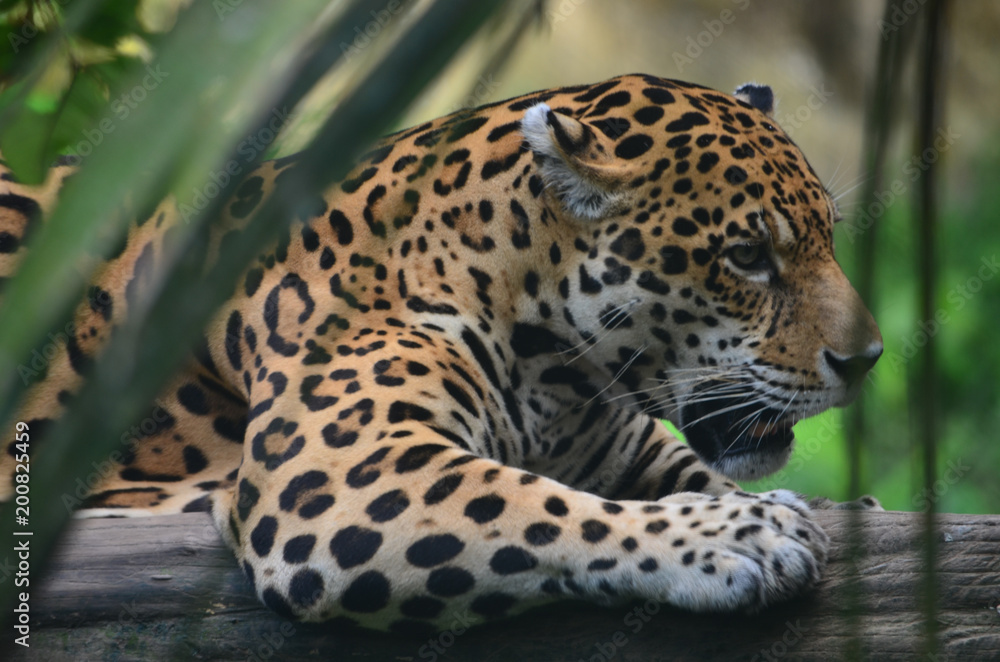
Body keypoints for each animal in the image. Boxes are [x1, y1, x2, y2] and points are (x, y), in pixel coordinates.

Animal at [0, 73, 882, 634]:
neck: (562, 376)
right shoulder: (338, 477)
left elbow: (681, 478)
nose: (867, 359)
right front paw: (741, 536)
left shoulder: (626, 453)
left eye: (827, 237)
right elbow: (540, 508)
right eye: (746, 257)